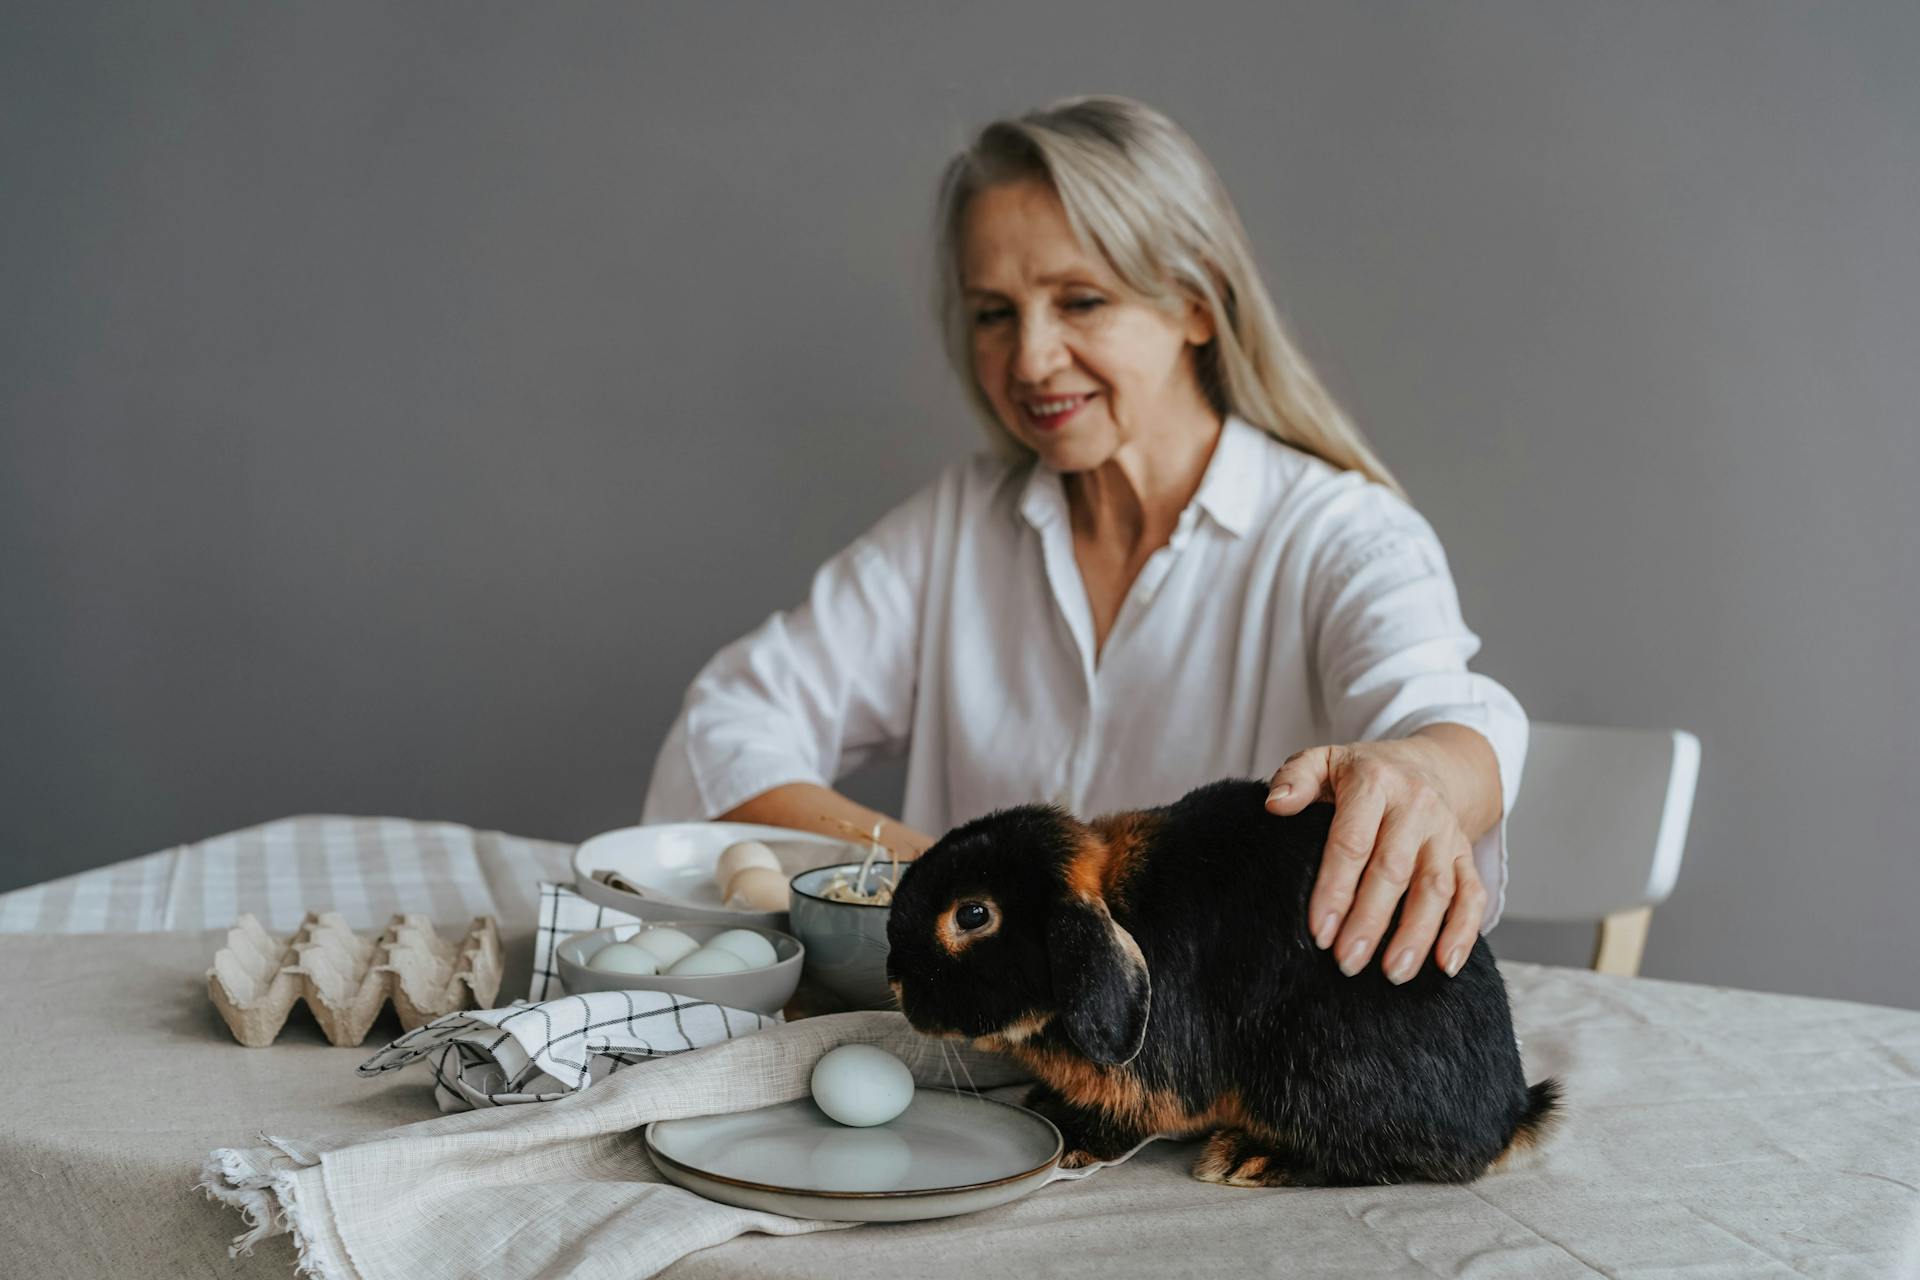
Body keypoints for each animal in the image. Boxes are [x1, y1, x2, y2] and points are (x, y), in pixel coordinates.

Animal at [883, 782, 1559, 1189]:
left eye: (973, 915)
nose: (894, 978)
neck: (1120, 910)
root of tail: (1508, 1116)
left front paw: (1071, 1142)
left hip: (1318, 1071)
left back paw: (1248, 1159)